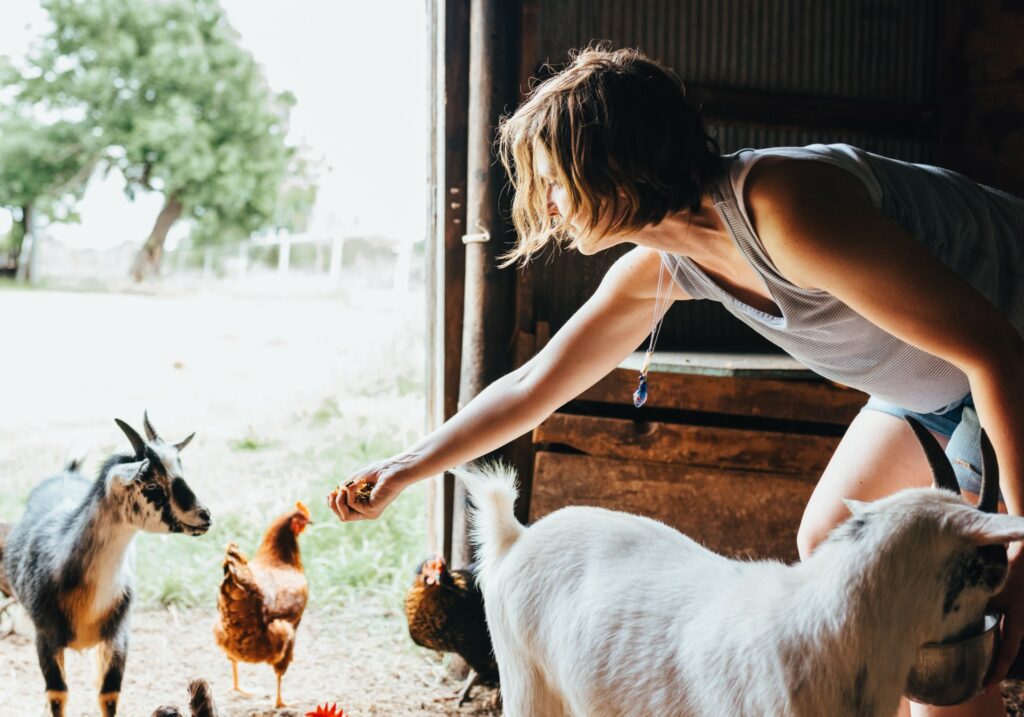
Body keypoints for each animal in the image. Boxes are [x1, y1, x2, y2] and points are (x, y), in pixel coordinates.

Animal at [3, 413, 211, 717]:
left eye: (181, 473)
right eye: (150, 485)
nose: (204, 516)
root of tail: (67, 472)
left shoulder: (118, 636)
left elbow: (108, 694)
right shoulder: (46, 638)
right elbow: (57, 694)